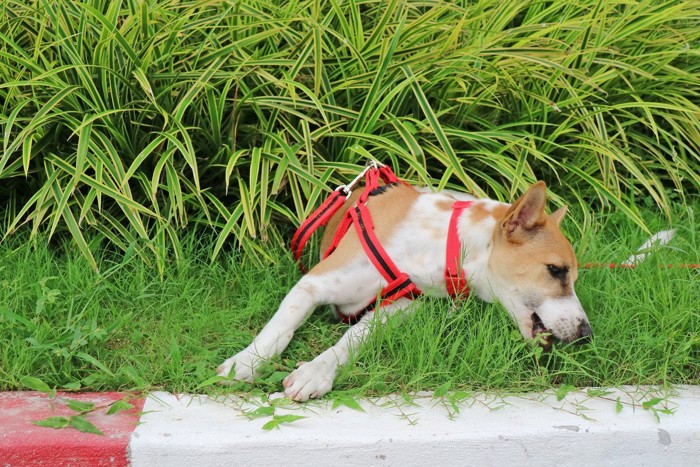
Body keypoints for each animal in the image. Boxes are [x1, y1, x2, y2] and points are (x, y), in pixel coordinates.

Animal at [217, 179, 592, 402]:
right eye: (556, 270)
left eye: (573, 278)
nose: (586, 333)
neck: (442, 245)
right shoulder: (314, 283)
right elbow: (279, 328)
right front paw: (246, 363)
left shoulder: (401, 307)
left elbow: (353, 338)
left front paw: (315, 372)